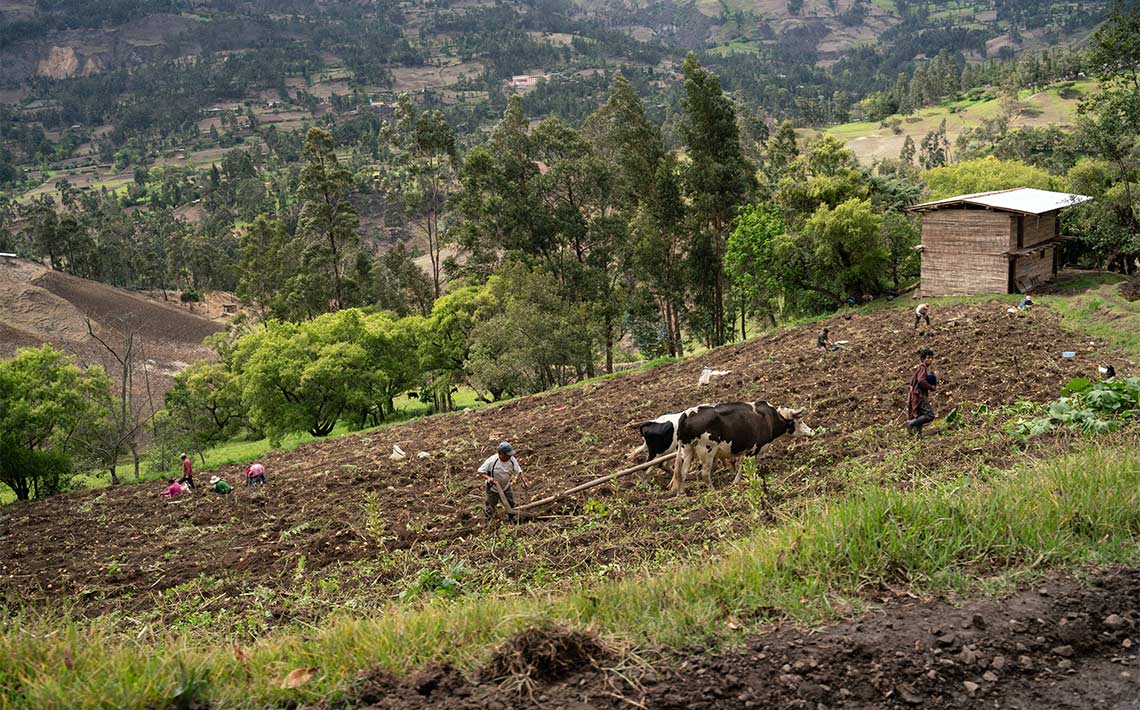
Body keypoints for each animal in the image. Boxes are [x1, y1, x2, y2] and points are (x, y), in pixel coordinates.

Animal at [665, 403, 811, 496]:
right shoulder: (754, 448)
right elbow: (744, 466)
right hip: (707, 450)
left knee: (683, 473)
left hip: (687, 450)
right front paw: (737, 481)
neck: (769, 419)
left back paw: (682, 494)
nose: (811, 431)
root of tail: (687, 414)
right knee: (704, 473)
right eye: (800, 421)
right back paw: (714, 491)